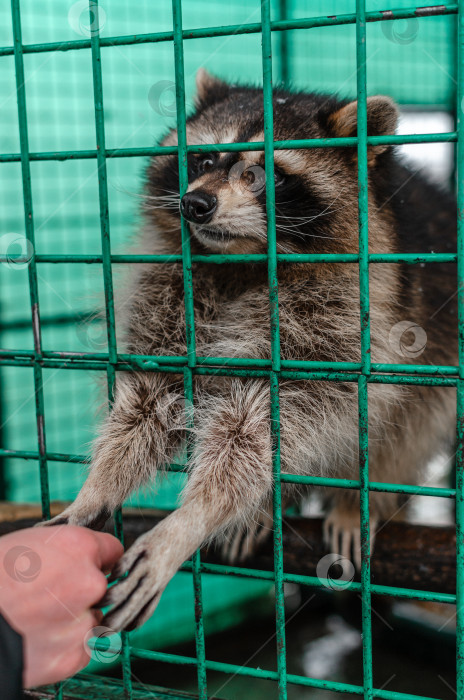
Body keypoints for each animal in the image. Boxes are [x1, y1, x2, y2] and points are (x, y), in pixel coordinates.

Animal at [41, 68, 458, 632]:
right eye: (202, 161)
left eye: (265, 175)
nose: (195, 204)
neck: (240, 261)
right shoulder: (171, 290)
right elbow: (150, 400)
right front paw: (99, 485)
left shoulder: (339, 315)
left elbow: (265, 424)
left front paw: (192, 518)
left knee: (408, 426)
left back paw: (357, 498)